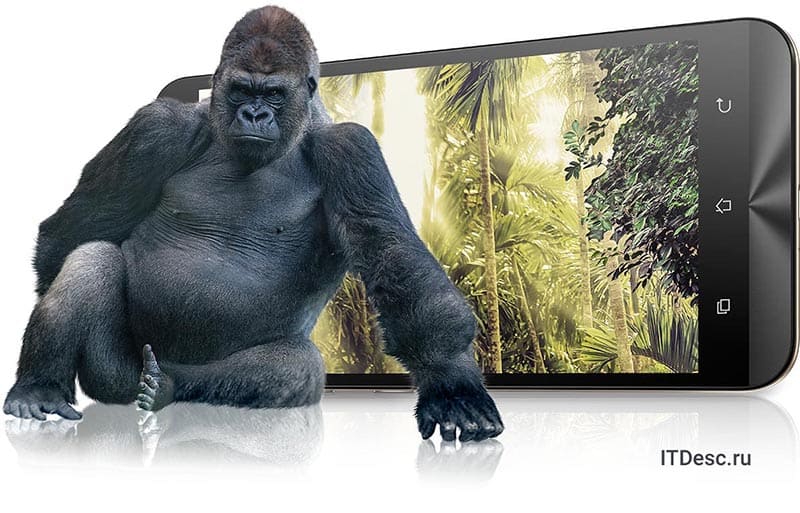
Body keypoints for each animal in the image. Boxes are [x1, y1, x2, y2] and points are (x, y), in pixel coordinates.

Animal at [3, 5, 503, 442]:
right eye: (243, 90)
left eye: (274, 95)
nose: (255, 114)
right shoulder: (155, 128)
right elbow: (69, 231)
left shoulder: (352, 149)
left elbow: (392, 254)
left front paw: (452, 382)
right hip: (112, 371)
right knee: (90, 257)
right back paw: (39, 388)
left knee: (296, 365)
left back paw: (169, 386)